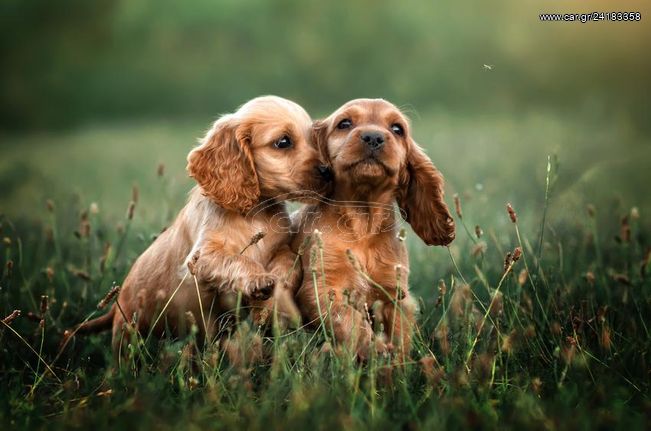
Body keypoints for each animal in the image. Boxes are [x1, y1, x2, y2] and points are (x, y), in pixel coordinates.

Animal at [290, 99, 454, 360]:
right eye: (344, 123)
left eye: (397, 129)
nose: (374, 137)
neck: (362, 225)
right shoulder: (322, 288)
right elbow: (352, 322)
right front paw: (375, 349)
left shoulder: (395, 296)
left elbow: (399, 336)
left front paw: (395, 363)